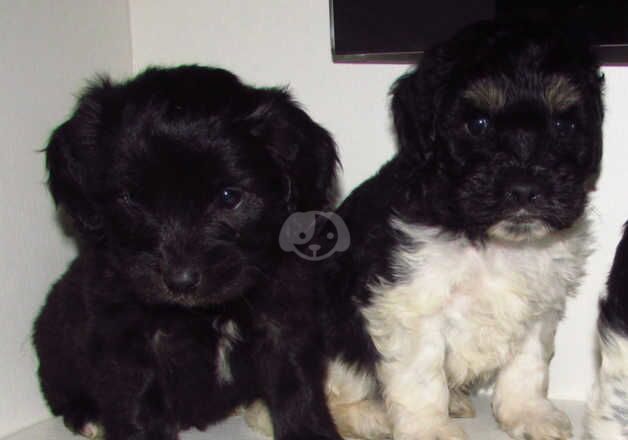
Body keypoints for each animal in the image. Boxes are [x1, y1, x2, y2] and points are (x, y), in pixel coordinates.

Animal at [31, 65, 340, 440]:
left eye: (230, 197)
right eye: (131, 198)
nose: (180, 281)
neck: (206, 312)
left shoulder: (283, 319)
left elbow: (297, 389)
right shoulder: (127, 335)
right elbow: (138, 403)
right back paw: (87, 415)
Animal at [244, 22, 604, 440]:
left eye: (564, 125)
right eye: (477, 124)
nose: (525, 189)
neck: (486, 236)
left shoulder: (540, 302)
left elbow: (528, 364)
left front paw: (529, 413)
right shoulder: (410, 303)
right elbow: (420, 376)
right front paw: (430, 429)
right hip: (335, 340)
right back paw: (370, 417)